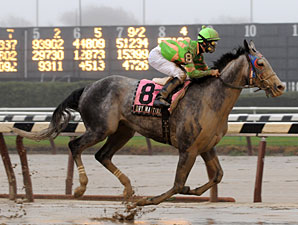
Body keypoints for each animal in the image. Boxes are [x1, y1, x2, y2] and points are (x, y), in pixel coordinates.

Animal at [13, 40, 284, 206]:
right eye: (261, 63)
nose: (280, 86)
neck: (210, 99)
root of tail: (88, 87)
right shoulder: (188, 149)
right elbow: (177, 184)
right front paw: (150, 200)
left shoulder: (206, 146)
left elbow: (217, 175)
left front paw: (194, 191)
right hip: (101, 128)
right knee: (75, 146)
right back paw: (81, 188)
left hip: (123, 131)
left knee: (102, 155)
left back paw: (128, 189)